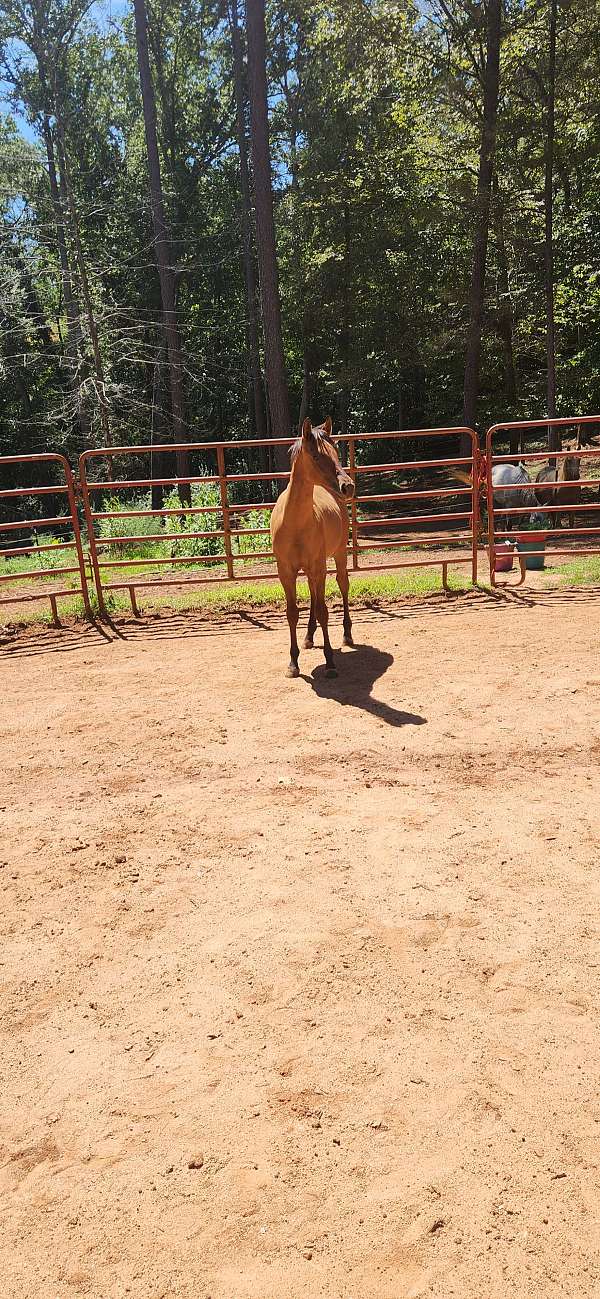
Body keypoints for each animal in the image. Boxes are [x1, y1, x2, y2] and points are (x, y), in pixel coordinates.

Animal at [270, 416, 355, 678]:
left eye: (336, 452)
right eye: (316, 456)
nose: (348, 486)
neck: (295, 523)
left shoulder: (318, 566)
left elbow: (323, 610)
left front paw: (330, 662)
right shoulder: (286, 572)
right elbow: (292, 613)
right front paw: (293, 663)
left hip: (337, 556)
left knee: (342, 585)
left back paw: (347, 635)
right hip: (310, 569)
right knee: (313, 594)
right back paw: (308, 636)